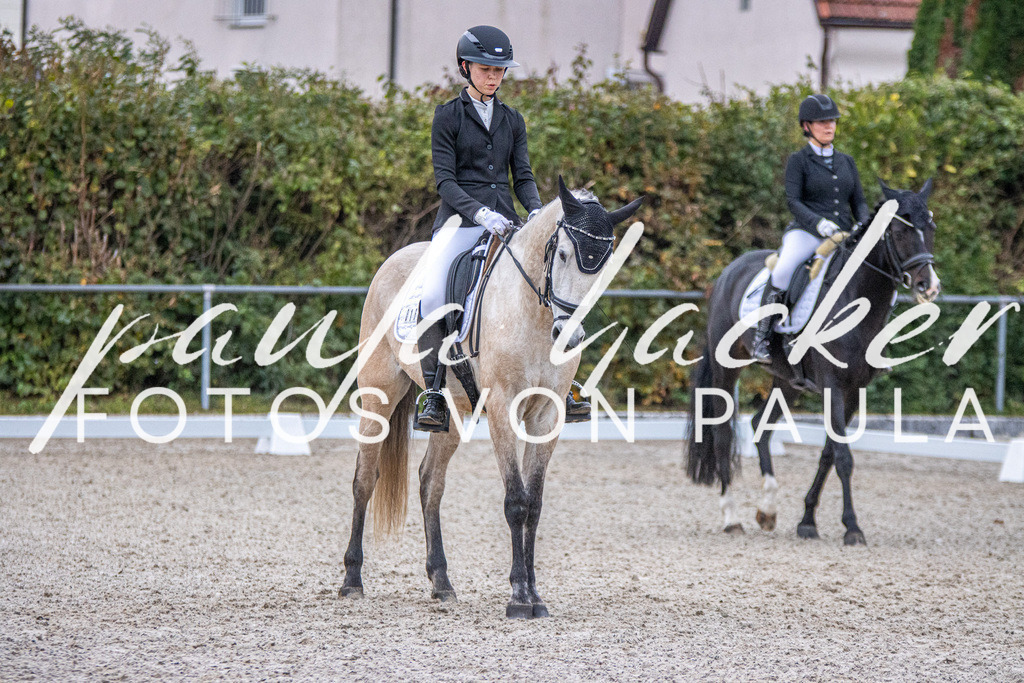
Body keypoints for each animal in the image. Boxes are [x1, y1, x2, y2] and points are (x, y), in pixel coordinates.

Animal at [340, 177, 642, 618]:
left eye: (603, 263)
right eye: (563, 254)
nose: (568, 336)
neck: (534, 314)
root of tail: (393, 261)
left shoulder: (547, 416)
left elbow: (534, 504)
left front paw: (535, 595)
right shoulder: (502, 407)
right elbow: (515, 501)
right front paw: (518, 597)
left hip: (452, 412)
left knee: (430, 482)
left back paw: (442, 583)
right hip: (379, 394)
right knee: (364, 479)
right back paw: (351, 580)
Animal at [685, 179, 940, 545]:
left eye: (930, 227)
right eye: (898, 230)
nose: (928, 286)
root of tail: (727, 273)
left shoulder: (853, 392)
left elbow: (829, 455)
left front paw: (808, 521)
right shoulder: (833, 386)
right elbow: (844, 458)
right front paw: (852, 528)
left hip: (787, 381)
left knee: (760, 427)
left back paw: (767, 510)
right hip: (727, 368)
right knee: (721, 434)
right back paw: (732, 517)